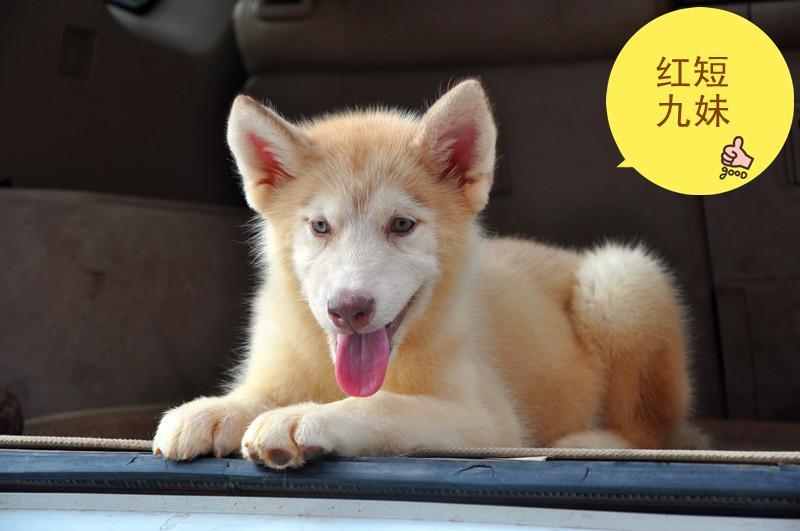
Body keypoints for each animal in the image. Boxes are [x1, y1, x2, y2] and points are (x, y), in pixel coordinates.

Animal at [153, 79, 702, 468]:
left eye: (401, 225)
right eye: (320, 227)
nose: (348, 310)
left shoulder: (487, 423)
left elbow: (384, 407)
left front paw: (305, 415)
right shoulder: (279, 362)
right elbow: (257, 392)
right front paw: (214, 408)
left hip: (619, 281)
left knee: (654, 431)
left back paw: (587, 439)